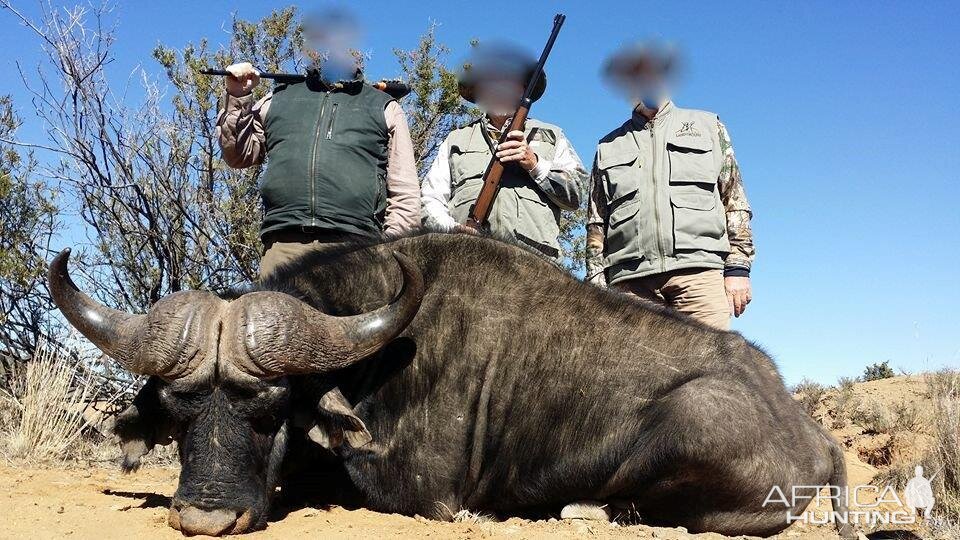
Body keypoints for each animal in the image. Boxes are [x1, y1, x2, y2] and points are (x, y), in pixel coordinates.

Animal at [47, 231, 856, 536]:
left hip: (686, 424)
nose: (205, 517)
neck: (372, 354)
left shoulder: (416, 493)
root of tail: (815, 438)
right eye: (179, 412)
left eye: (270, 411)